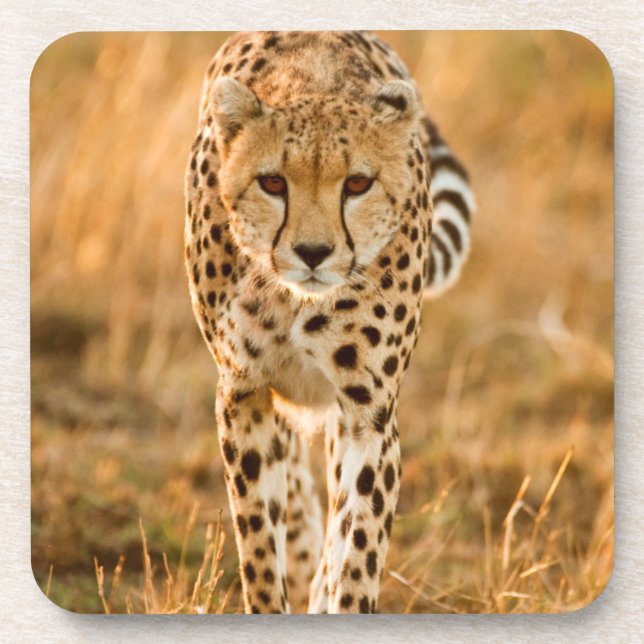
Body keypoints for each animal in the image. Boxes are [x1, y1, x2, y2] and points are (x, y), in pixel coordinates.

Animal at [184, 30, 475, 614]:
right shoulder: (242, 391)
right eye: (273, 182)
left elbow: (358, 543)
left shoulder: (369, 411)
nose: (314, 252)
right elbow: (258, 540)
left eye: (357, 184)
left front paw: (341, 596)